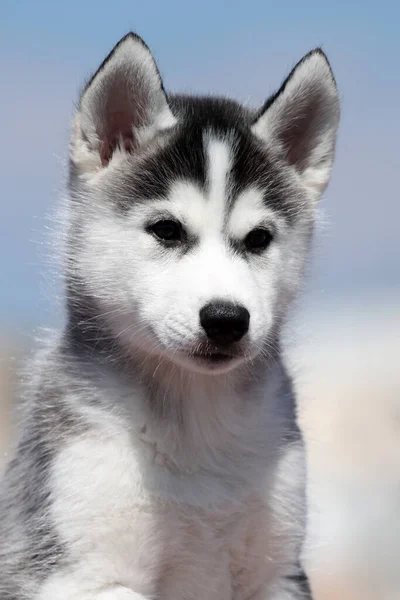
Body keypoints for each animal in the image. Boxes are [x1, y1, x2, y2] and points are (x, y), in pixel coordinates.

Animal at [0, 34, 338, 600]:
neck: (195, 425)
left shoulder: (277, 572)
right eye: (166, 229)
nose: (226, 319)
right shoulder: (72, 572)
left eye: (259, 239)